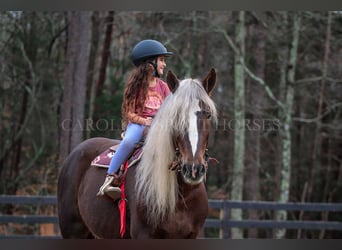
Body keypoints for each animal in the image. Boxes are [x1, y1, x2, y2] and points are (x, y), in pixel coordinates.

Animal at [55, 68, 216, 238]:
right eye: (175, 116)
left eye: (208, 114)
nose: (193, 169)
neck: (182, 196)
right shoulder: (143, 233)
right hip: (73, 230)